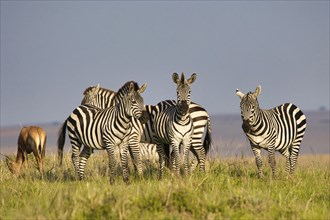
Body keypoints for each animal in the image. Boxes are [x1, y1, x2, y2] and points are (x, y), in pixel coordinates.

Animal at [81, 82, 213, 174]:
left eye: (86, 102)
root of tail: (205, 111)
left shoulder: (132, 137)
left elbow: (136, 159)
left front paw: (138, 176)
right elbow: (133, 159)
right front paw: (135, 174)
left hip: (193, 136)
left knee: (201, 153)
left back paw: (199, 173)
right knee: (198, 155)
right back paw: (192, 172)